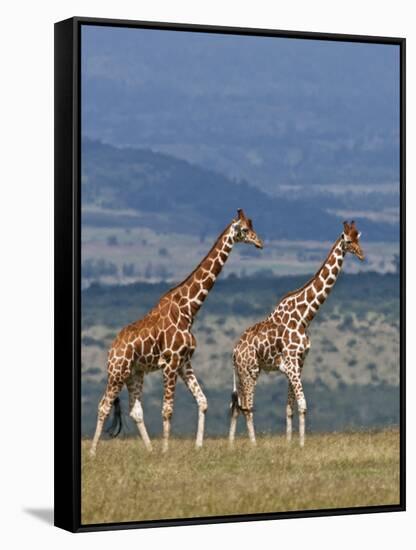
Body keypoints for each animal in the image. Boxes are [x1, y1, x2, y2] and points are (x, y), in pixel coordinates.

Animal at [228, 222, 364, 450]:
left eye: (359, 238)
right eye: (348, 240)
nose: (362, 254)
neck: (304, 317)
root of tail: (234, 351)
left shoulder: (298, 363)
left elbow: (290, 406)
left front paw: (291, 443)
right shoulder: (291, 363)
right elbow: (302, 404)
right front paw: (300, 444)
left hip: (241, 372)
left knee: (237, 405)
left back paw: (230, 443)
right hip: (250, 371)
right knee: (247, 406)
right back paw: (253, 444)